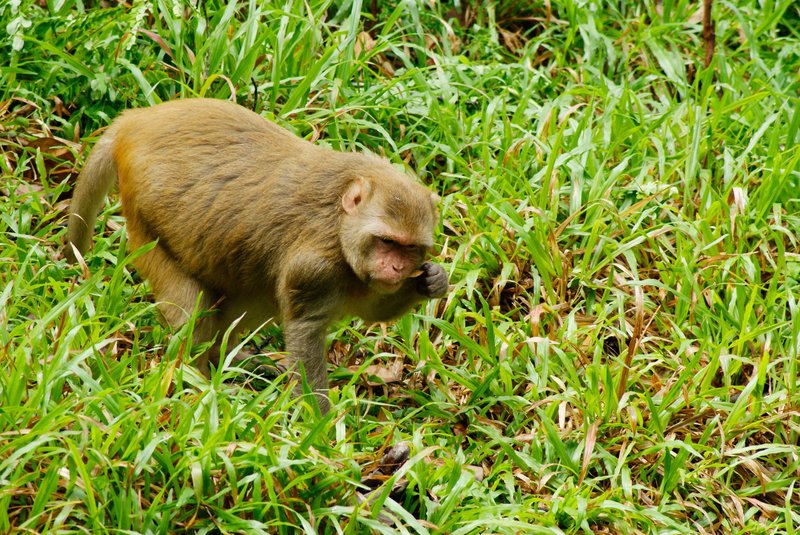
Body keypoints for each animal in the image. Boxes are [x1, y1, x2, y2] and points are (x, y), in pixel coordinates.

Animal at [65, 98, 446, 412]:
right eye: (386, 241)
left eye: (409, 247)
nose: (395, 267)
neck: (339, 227)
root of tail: (136, 122)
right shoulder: (315, 270)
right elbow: (306, 332)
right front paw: (319, 428)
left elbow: (370, 311)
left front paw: (432, 280)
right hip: (147, 217)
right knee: (191, 302)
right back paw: (197, 381)